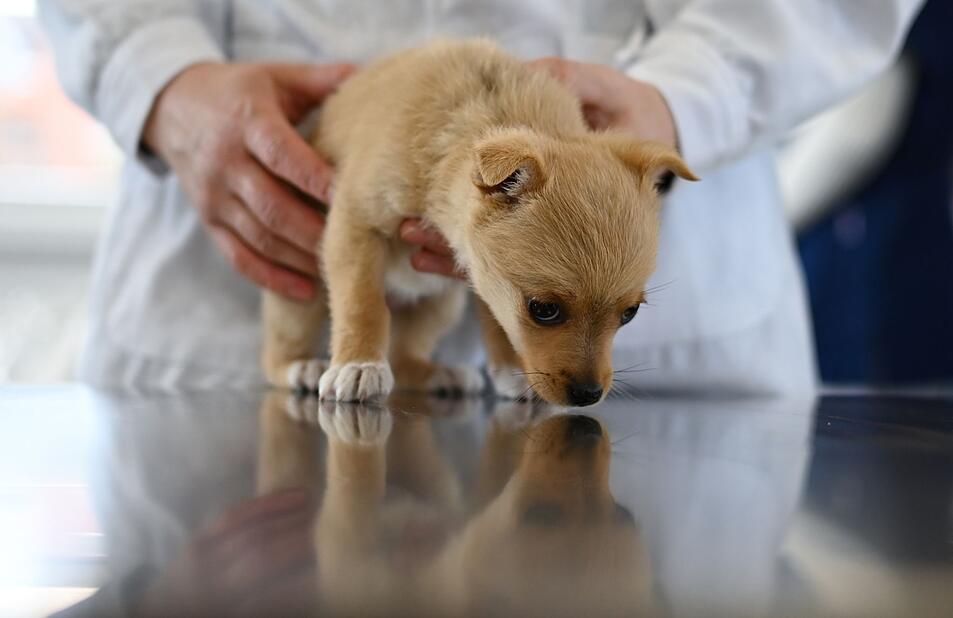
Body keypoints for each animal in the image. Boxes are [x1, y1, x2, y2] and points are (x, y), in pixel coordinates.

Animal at [260, 38, 692, 404]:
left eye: (630, 314)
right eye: (543, 310)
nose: (589, 395)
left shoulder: (485, 274)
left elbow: (498, 322)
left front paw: (512, 371)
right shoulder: (358, 226)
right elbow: (362, 303)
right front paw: (358, 363)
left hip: (440, 304)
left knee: (404, 354)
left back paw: (436, 374)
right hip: (300, 295)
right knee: (280, 351)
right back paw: (302, 367)